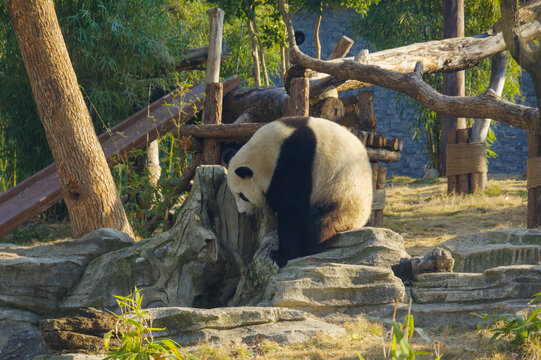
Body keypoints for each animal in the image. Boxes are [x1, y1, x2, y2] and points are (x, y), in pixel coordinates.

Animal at [224, 116, 372, 266]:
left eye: (243, 196)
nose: (242, 212)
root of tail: (358, 222)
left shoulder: (296, 162)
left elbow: (292, 210)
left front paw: (282, 255)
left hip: (340, 192)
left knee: (322, 220)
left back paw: (308, 248)